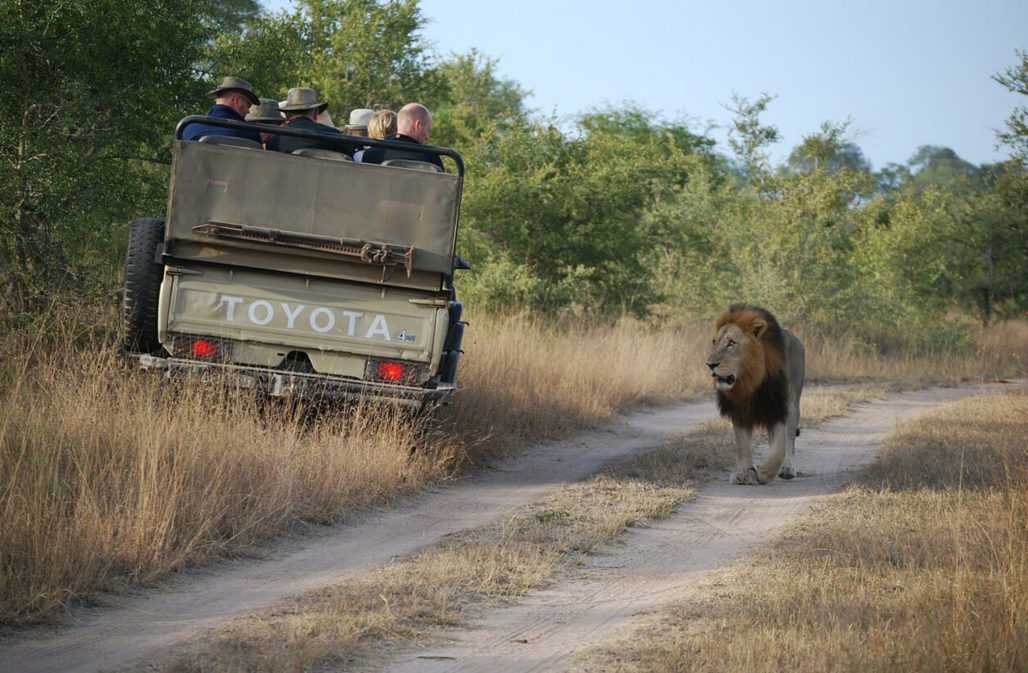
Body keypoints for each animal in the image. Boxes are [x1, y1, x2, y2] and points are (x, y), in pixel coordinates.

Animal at [707, 304, 801, 484]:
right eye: (714, 342)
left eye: (731, 343)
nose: (710, 364)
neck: (750, 381)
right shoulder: (739, 411)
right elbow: (742, 445)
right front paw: (743, 473)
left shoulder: (777, 406)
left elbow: (780, 447)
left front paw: (765, 472)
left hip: (793, 405)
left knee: (790, 439)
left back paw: (787, 469)